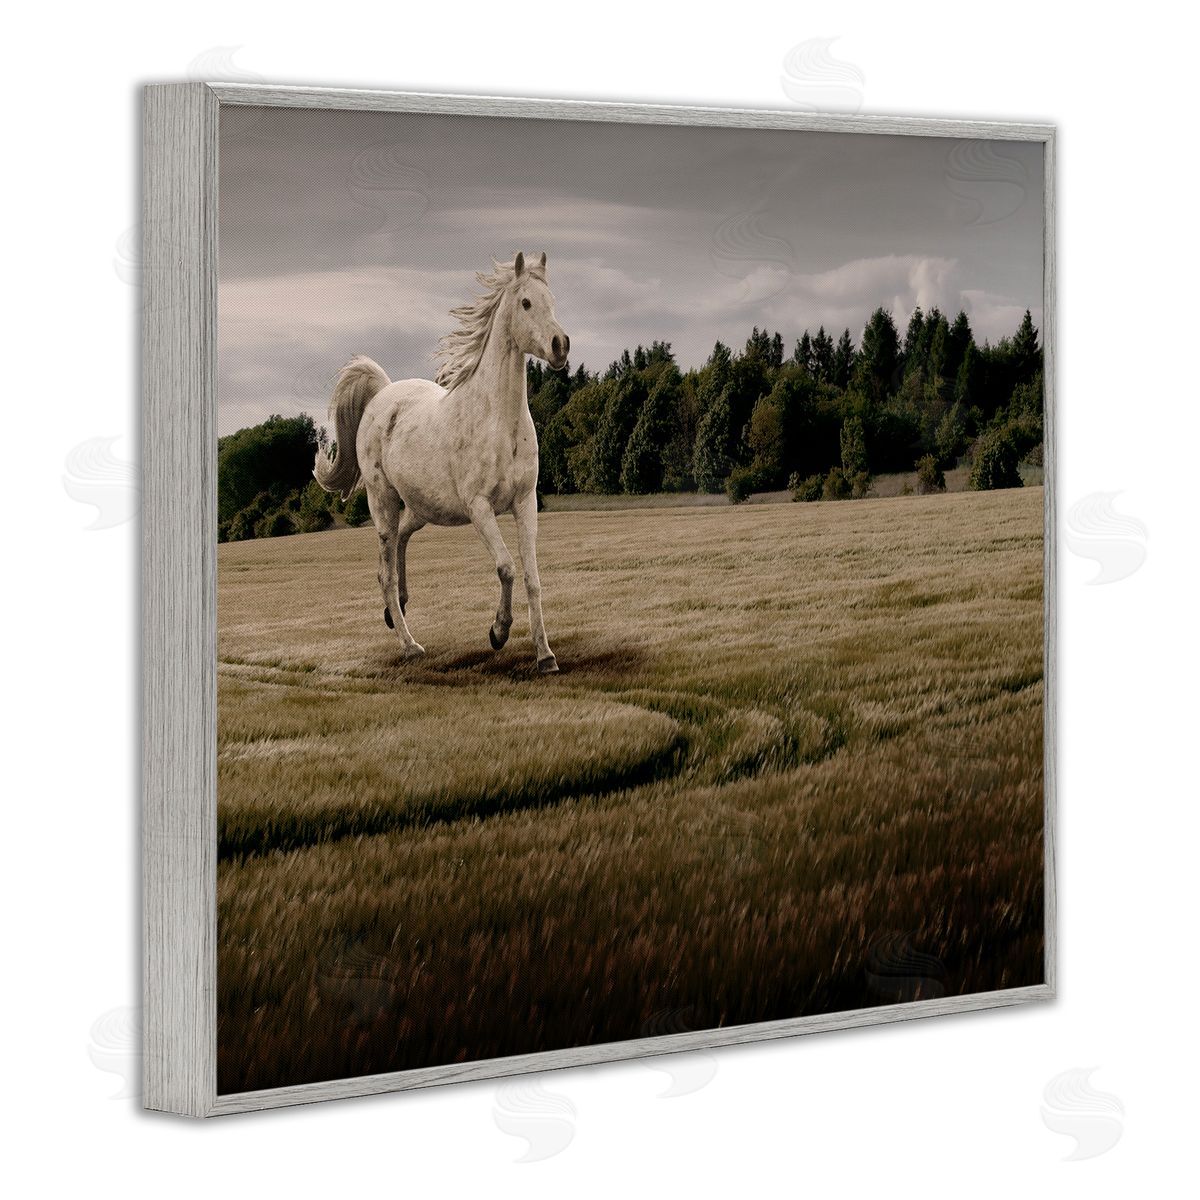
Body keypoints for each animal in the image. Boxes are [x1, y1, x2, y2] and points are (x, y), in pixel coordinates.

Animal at [313, 251, 570, 674]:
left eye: (553, 300)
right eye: (525, 303)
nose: (560, 346)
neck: (499, 422)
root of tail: (382, 395)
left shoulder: (525, 501)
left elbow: (532, 577)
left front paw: (545, 656)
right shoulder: (480, 507)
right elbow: (506, 567)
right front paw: (498, 633)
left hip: (422, 508)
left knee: (401, 543)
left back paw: (397, 609)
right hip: (384, 504)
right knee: (384, 570)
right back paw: (409, 644)